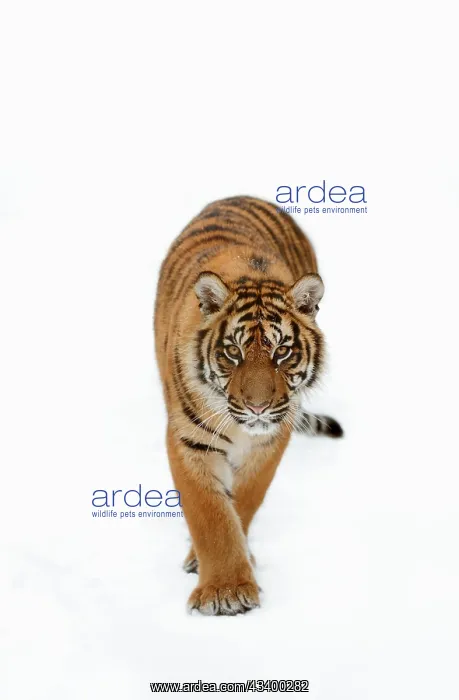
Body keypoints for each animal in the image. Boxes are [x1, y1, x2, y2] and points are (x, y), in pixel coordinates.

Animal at [154, 195, 343, 616]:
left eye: (282, 352)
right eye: (233, 352)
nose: (257, 408)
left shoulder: (272, 439)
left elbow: (244, 502)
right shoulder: (189, 440)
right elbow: (210, 516)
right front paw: (224, 591)